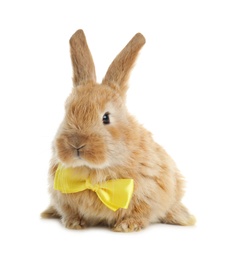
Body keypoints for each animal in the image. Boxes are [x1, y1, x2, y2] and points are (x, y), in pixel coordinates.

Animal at [40, 29, 194, 232]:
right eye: (67, 111)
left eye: (106, 117)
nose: (76, 144)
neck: (92, 172)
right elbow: (69, 210)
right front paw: (73, 223)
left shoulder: (151, 190)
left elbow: (142, 212)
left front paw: (127, 226)